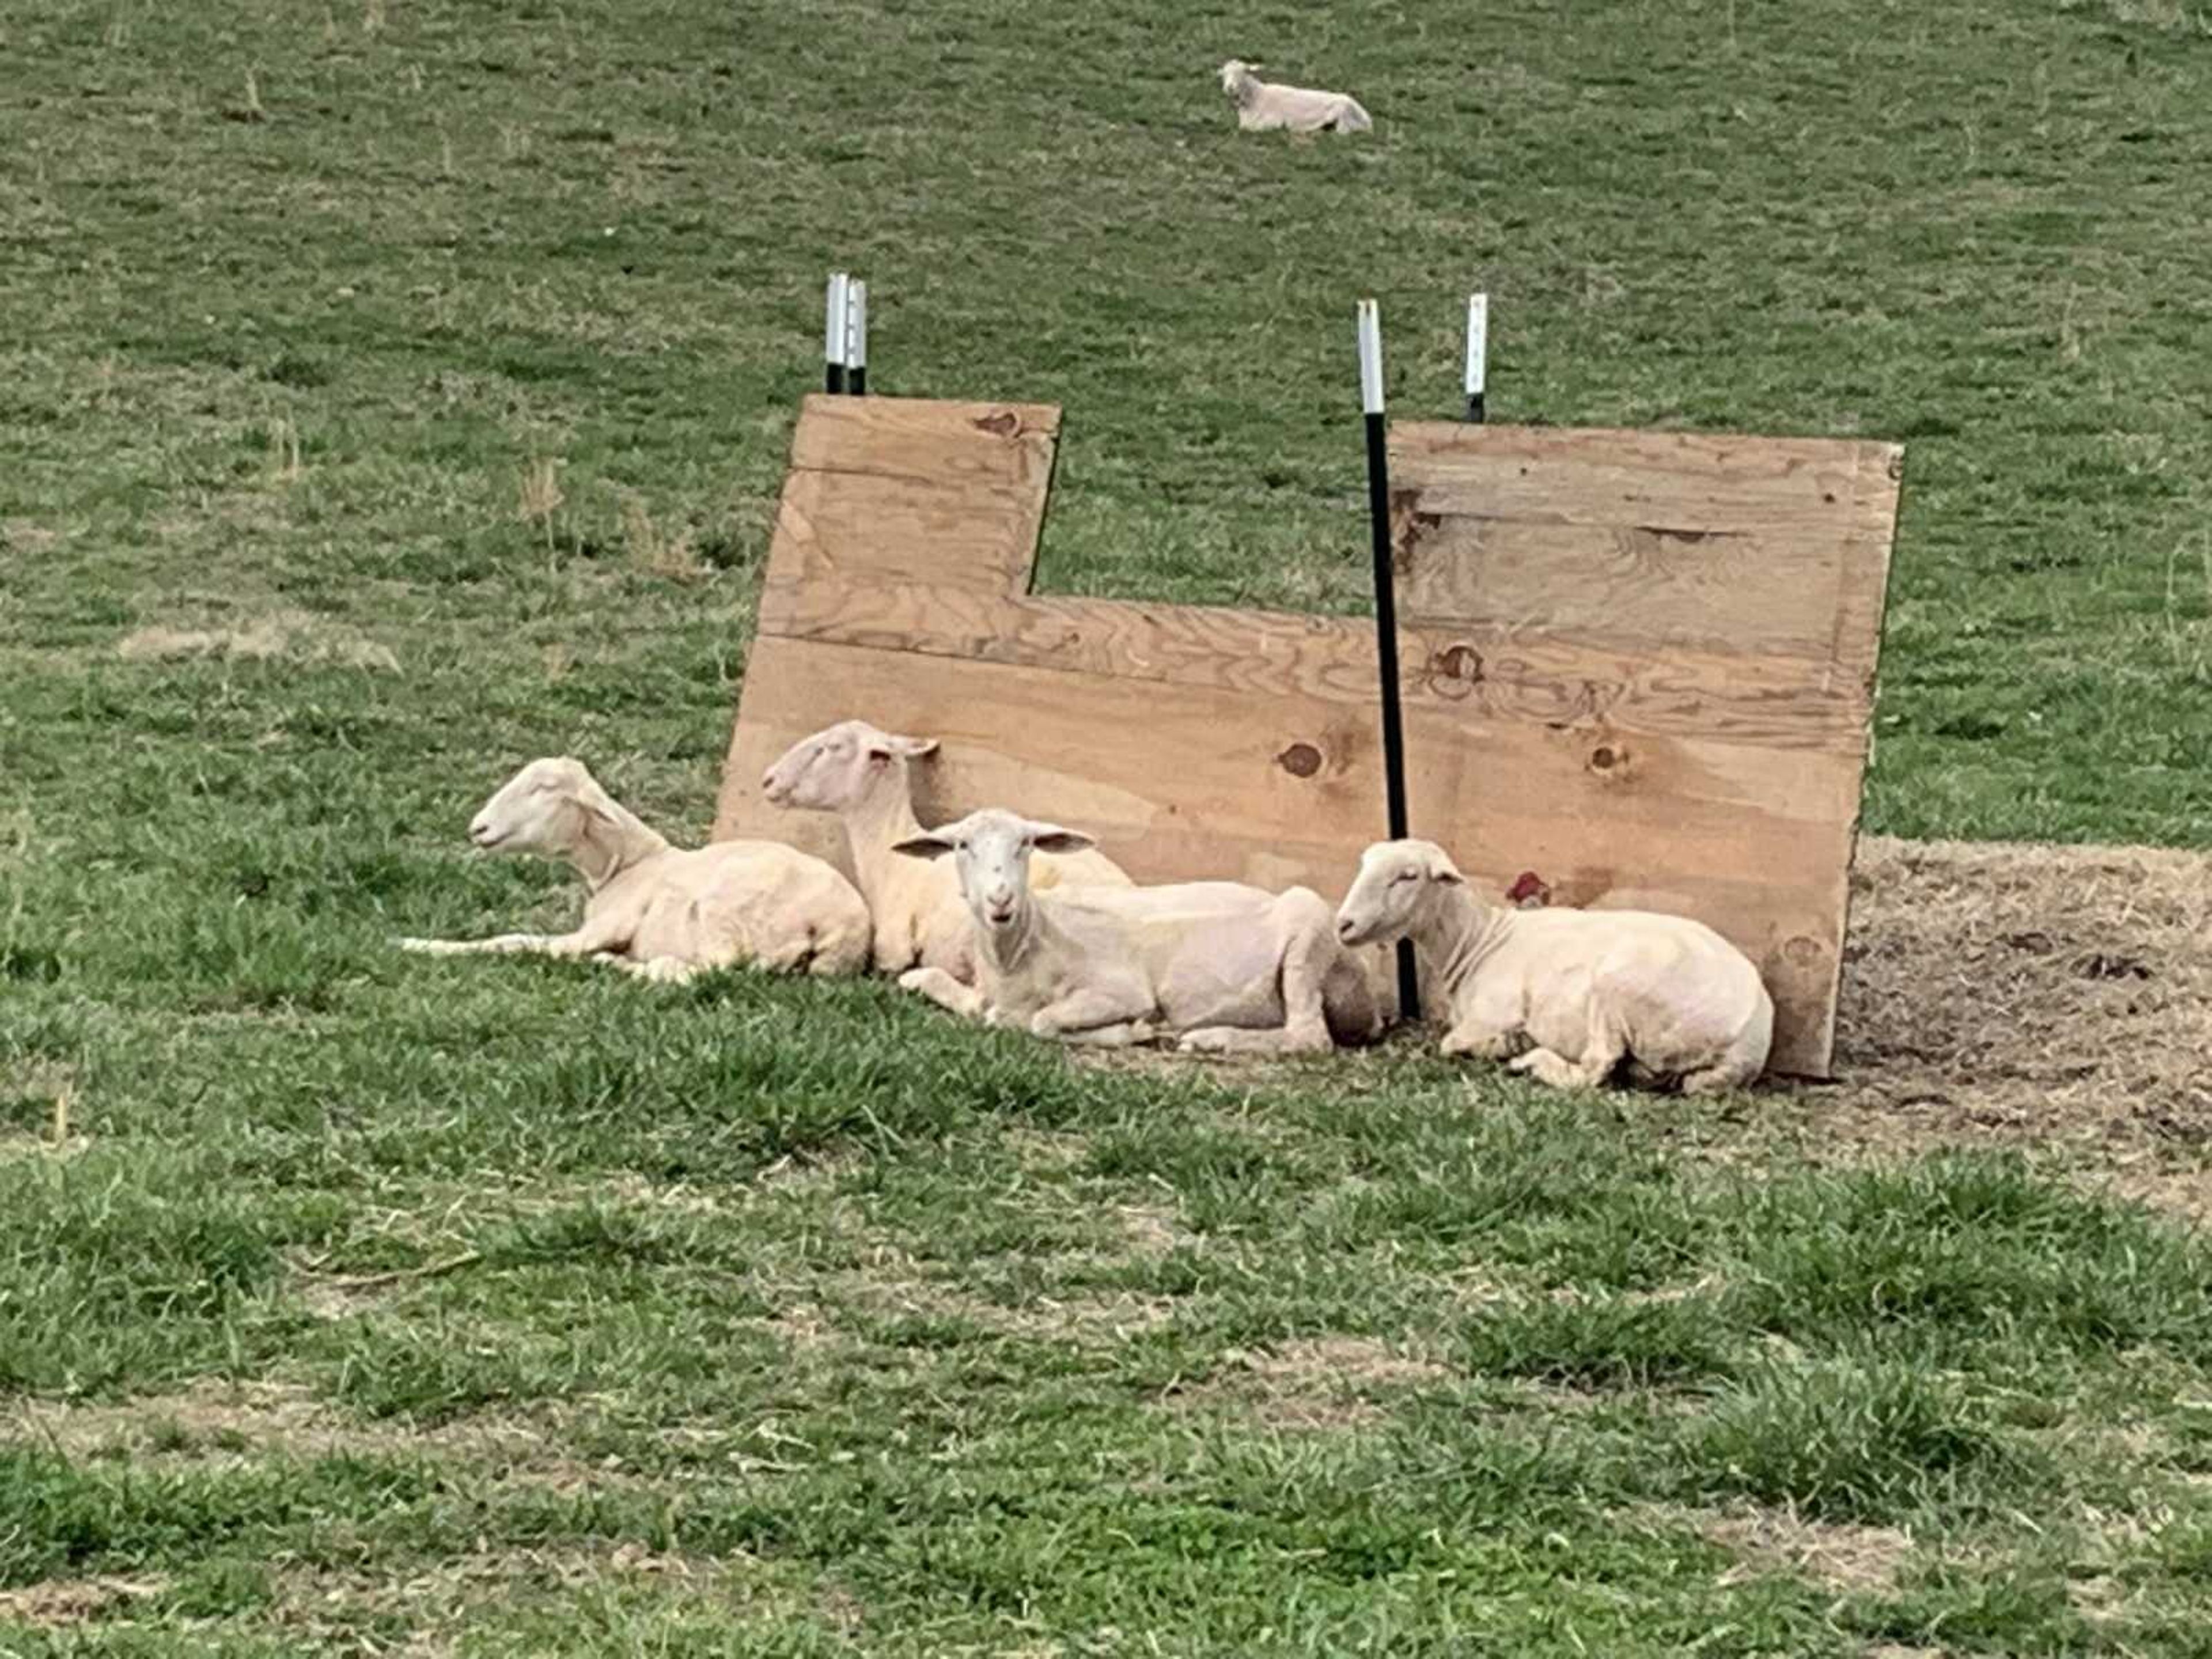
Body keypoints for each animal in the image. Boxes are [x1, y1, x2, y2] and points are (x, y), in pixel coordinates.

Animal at [402, 756, 867, 982]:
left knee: (699, 971)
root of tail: (842, 925)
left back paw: (620, 965)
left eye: (544, 788)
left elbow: (514, 941)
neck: (630, 863)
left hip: (727, 907)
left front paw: (419, 944)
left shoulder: (610, 924)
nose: (477, 828)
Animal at [885, 814, 1371, 1057]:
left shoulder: (1122, 990)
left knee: (1310, 1037)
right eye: (962, 846)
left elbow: (1041, 1022)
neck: (1025, 949)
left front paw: (1133, 1032)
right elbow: (933, 986)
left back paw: (1212, 1039)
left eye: (1026, 844)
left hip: (1308, 935)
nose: (1001, 898)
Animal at [1221, 58, 1371, 135]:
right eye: (1225, 74)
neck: (1257, 96)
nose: (1230, 87)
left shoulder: (1272, 122)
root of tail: (1368, 121)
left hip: (1343, 118)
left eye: (1243, 72)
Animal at [1327, 836, 1760, 1097]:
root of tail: (1749, 1042)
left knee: (1595, 1067)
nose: (1343, 924)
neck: (1478, 941)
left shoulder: (1494, 1012)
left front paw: (1503, 1045)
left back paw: (1530, 1060)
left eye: (1408, 876)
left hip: (1617, 988)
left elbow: (1451, 1043)